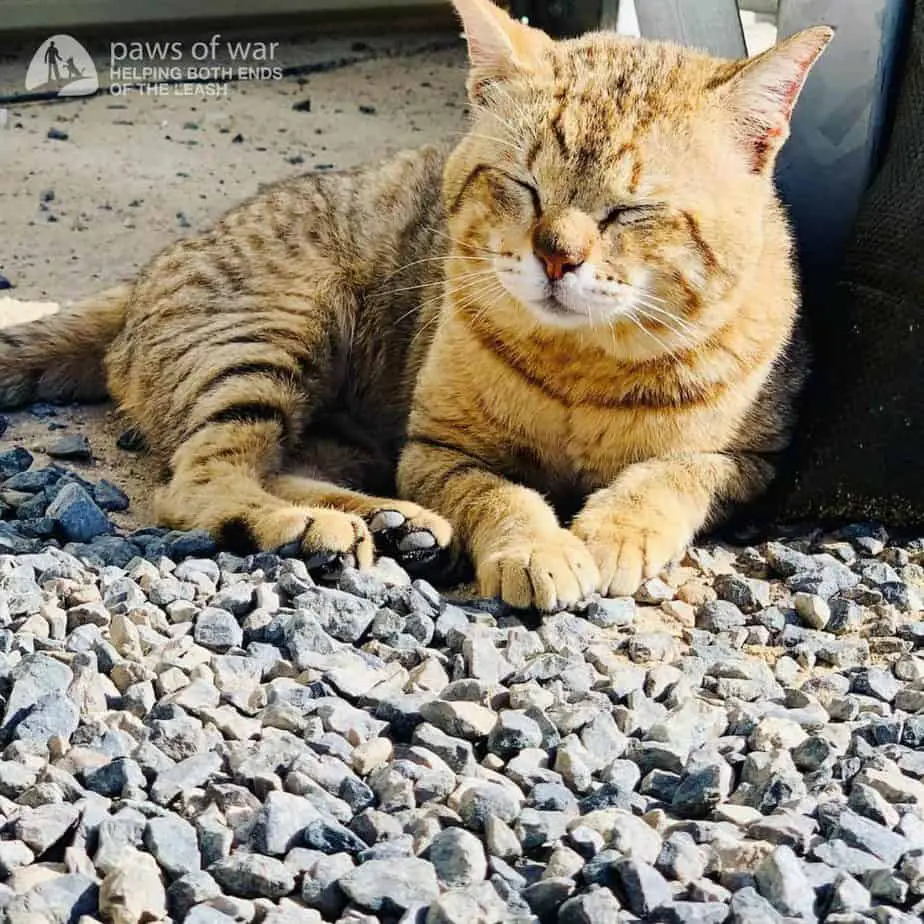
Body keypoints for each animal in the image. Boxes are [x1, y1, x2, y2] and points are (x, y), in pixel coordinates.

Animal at [0, 1, 832, 612]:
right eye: (523, 186)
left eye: (631, 210)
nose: (556, 256)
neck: (583, 365)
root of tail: (142, 277)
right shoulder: (436, 449)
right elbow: (500, 494)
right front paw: (538, 546)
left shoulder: (750, 461)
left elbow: (669, 476)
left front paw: (613, 531)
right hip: (269, 336)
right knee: (203, 481)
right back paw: (317, 525)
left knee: (281, 463)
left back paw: (392, 523)